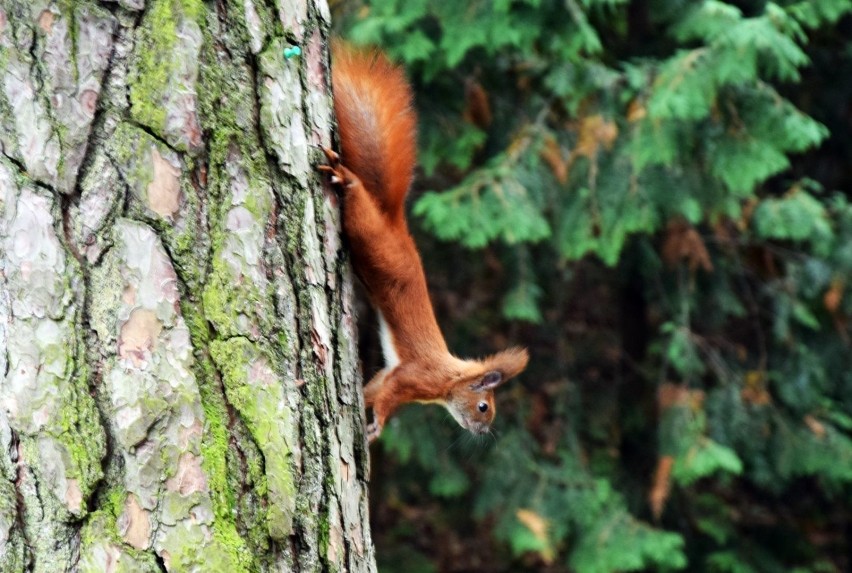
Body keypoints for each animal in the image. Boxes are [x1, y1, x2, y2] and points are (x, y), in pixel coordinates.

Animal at [322, 41, 528, 442]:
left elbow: (375, 387)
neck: (448, 380)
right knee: (360, 211)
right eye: (484, 406)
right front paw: (376, 426)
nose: (482, 432)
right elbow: (388, 398)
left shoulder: (392, 374)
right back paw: (347, 179)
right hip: (374, 240)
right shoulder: (412, 378)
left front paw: (361, 402)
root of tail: (394, 221)